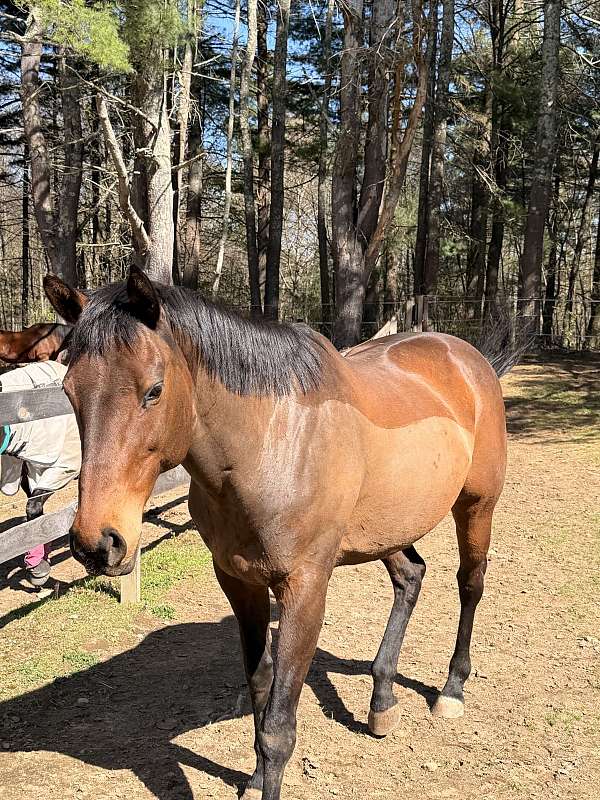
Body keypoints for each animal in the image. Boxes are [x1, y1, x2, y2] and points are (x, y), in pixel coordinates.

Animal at [43, 267, 508, 800]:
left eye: (154, 390)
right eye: (69, 391)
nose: (97, 542)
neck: (270, 447)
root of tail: (465, 355)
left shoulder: (305, 589)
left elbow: (278, 727)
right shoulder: (239, 582)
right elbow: (261, 687)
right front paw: (254, 778)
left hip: (476, 507)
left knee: (470, 584)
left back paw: (451, 689)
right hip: (385, 529)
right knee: (410, 576)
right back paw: (382, 699)